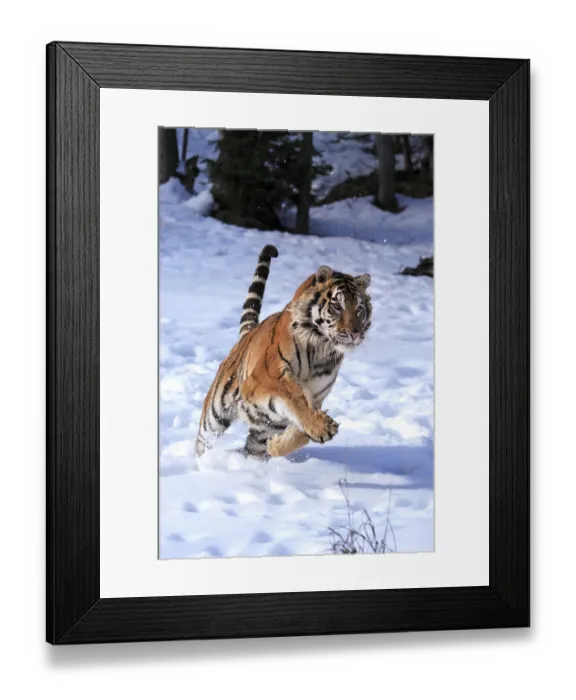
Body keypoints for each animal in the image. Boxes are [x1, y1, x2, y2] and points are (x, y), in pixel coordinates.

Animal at [195, 244, 372, 461]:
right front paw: (322, 427)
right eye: (337, 306)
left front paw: (276, 445)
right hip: (215, 414)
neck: (322, 350)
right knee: (203, 441)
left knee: (254, 447)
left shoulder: (316, 396)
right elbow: (295, 398)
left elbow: (297, 429)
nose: (356, 333)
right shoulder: (267, 377)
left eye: (359, 308)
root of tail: (247, 335)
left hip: (260, 432)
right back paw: (202, 463)